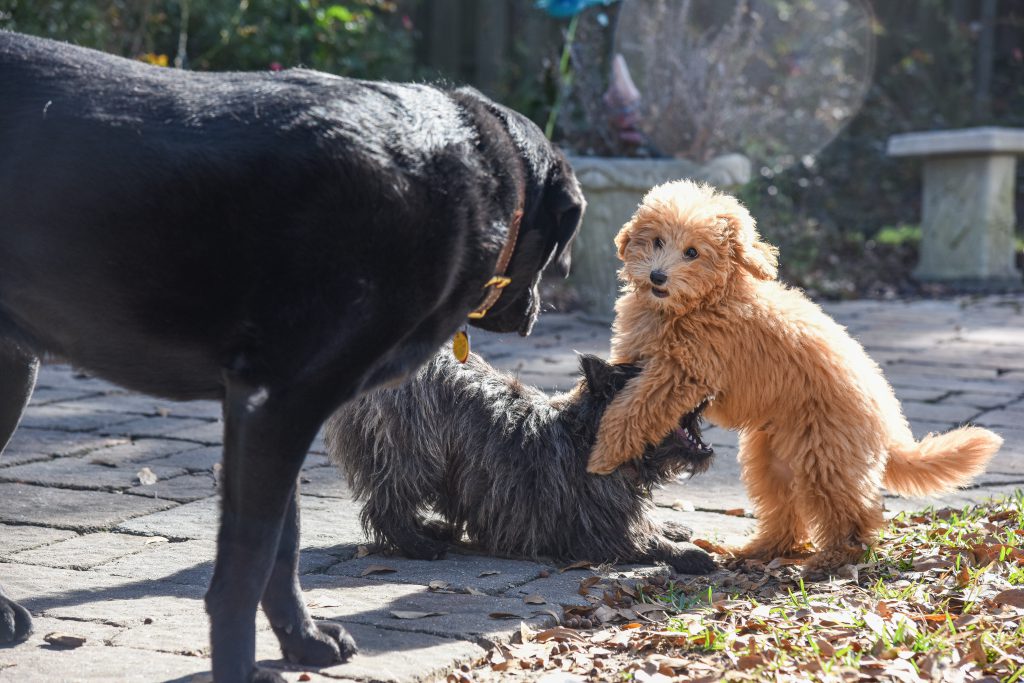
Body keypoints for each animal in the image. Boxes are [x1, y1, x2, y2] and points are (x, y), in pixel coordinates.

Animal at [325, 352, 712, 573]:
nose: (708, 383)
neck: (587, 435)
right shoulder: (598, 533)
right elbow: (645, 542)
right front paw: (686, 554)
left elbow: (650, 526)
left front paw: (672, 527)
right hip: (417, 452)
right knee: (386, 505)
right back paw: (420, 545)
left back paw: (431, 529)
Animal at [589, 180, 1003, 573]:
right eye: (657, 241)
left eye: (692, 252)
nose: (657, 276)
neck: (704, 302)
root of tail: (887, 419)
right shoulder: (639, 356)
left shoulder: (681, 372)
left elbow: (635, 408)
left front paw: (604, 452)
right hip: (772, 457)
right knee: (787, 513)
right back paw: (756, 549)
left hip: (826, 456)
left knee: (855, 512)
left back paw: (832, 558)